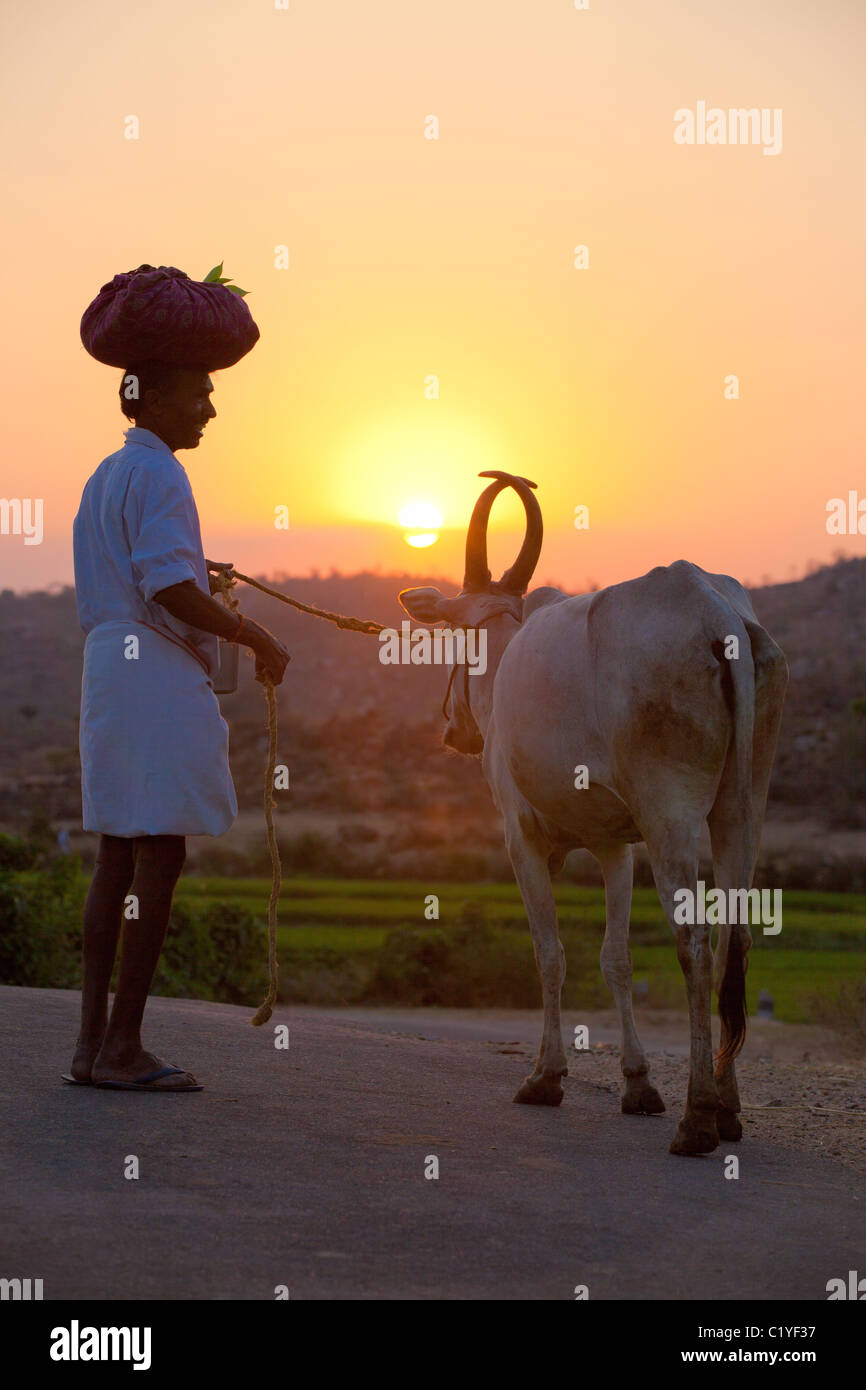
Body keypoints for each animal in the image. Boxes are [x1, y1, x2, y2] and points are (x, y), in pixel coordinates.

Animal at [403, 472, 789, 1156]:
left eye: (452, 635)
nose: (454, 729)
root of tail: (719, 615)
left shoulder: (522, 840)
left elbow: (550, 953)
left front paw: (546, 1076)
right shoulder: (616, 849)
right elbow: (616, 958)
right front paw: (638, 1084)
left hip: (670, 815)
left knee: (695, 942)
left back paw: (697, 1119)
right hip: (742, 809)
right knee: (733, 940)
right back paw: (728, 1108)